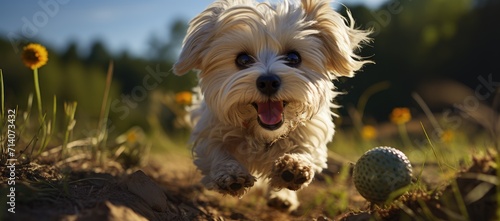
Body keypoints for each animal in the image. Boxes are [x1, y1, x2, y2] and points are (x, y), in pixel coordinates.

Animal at [174, 0, 370, 212]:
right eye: (243, 59)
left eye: (293, 58)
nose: (268, 81)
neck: (264, 135)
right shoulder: (210, 128)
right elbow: (216, 151)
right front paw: (230, 173)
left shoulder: (311, 131)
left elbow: (304, 149)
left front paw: (294, 166)